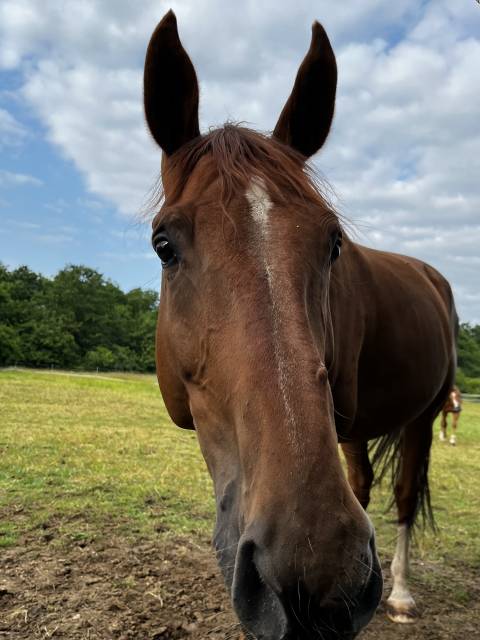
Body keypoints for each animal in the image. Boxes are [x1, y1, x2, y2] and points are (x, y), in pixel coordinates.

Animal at [143, 11, 457, 639]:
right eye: (164, 245)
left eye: (333, 242)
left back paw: (402, 593)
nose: (318, 581)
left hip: (423, 415)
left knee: (404, 494)